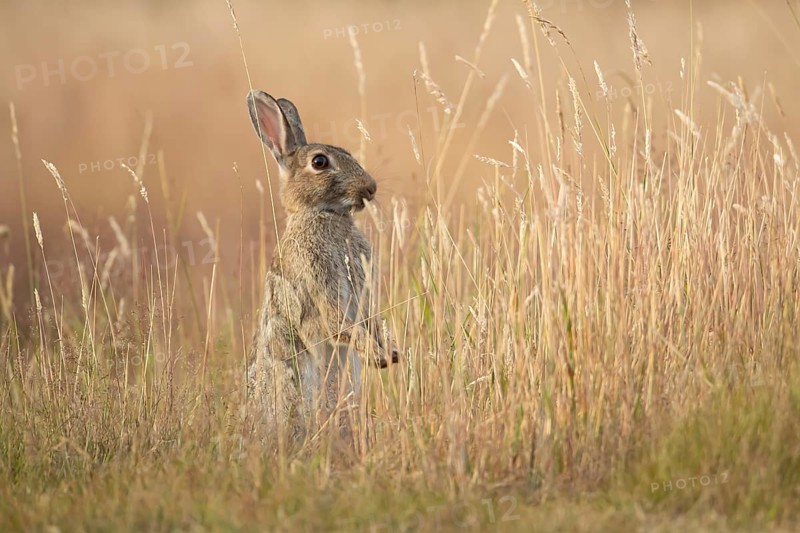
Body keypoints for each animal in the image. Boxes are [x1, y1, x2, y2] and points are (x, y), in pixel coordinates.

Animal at [244, 89, 398, 438]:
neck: (323, 214)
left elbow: (371, 322)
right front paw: (376, 355)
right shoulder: (323, 288)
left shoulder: (364, 294)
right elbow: (339, 325)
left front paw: (389, 352)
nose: (371, 188)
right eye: (319, 162)